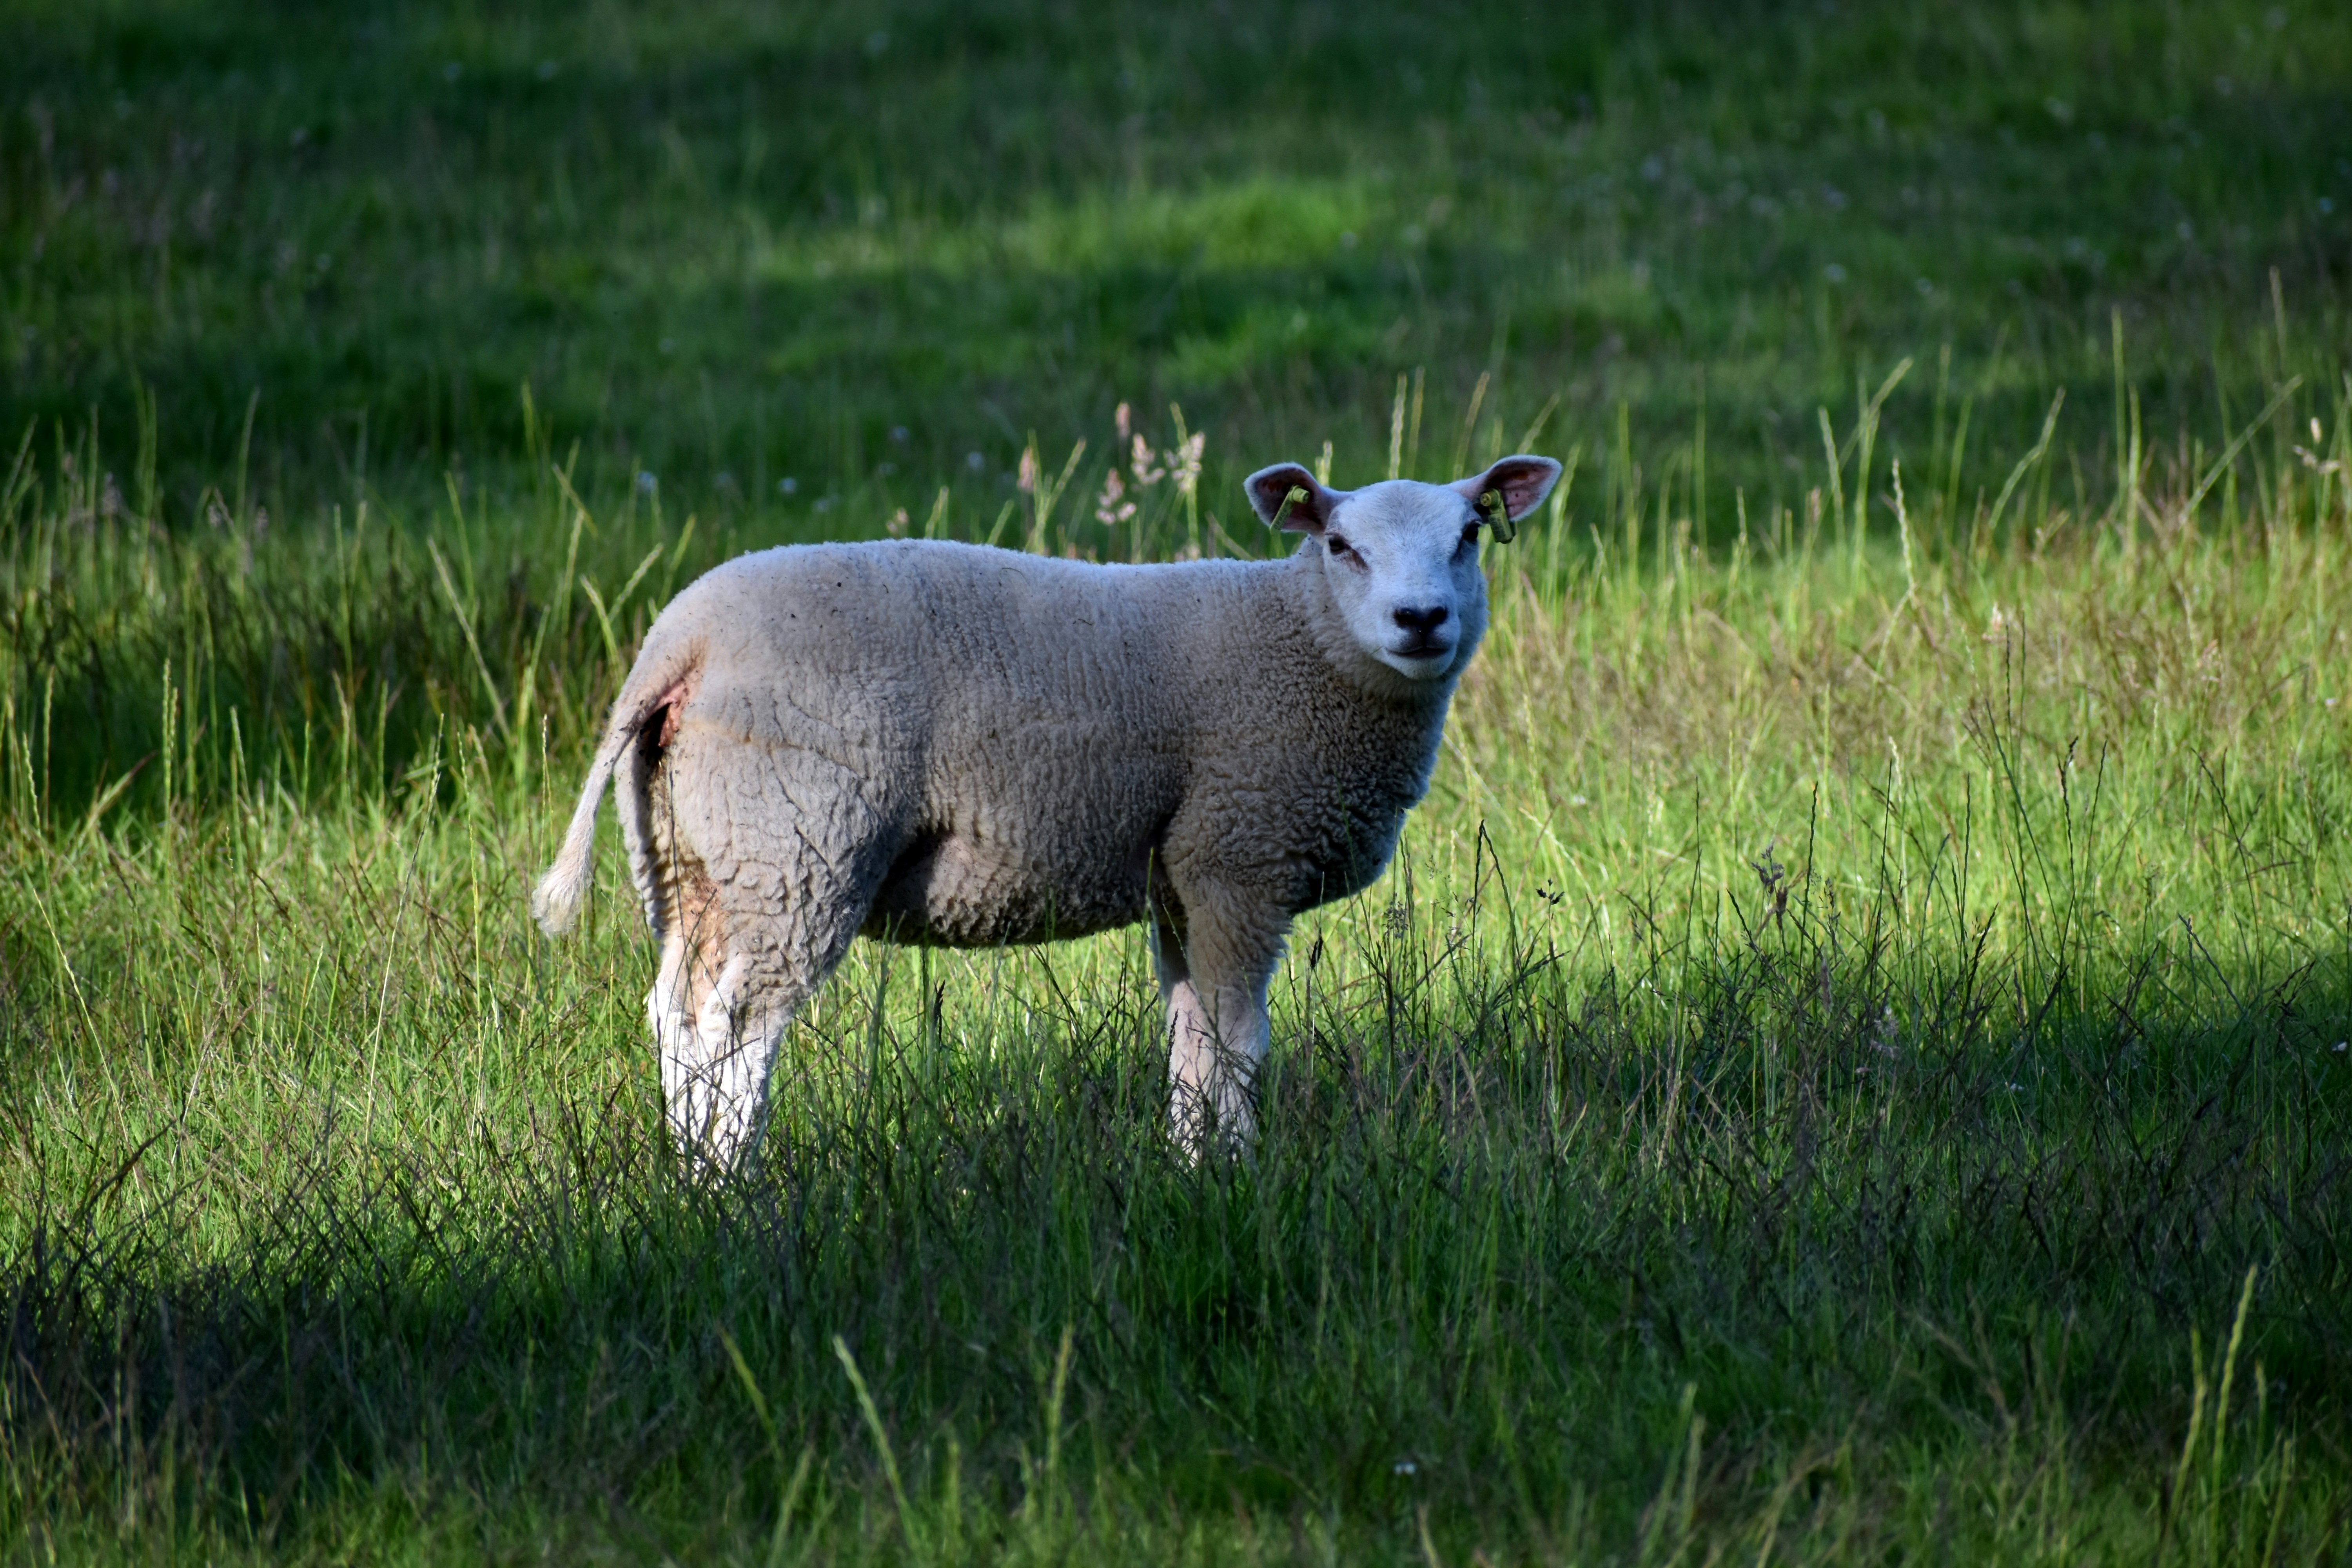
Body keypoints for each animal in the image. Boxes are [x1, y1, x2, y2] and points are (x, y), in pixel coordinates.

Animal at [532, 453, 1563, 1168]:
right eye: (1342, 548)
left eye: (1469, 536)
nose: (1421, 620)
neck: (1299, 641)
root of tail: (679, 639)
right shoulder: (1239, 858)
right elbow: (1238, 1043)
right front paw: (1237, 1173)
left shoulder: (1180, 875)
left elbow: (1190, 1043)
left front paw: (1189, 1171)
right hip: (800, 841)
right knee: (738, 1028)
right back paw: (734, 1190)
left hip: (695, 853)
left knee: (676, 1017)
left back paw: (687, 1184)